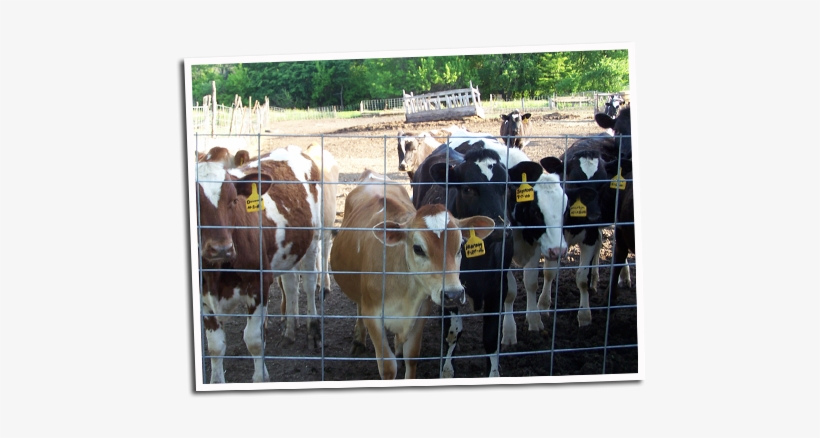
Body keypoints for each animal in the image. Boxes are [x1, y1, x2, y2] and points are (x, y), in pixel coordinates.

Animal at [196, 145, 322, 383]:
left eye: (233, 201)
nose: (221, 248)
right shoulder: (204, 299)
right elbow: (215, 347)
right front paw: (216, 380)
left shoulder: (258, 285)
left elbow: (253, 340)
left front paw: (260, 377)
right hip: (288, 251)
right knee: (290, 285)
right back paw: (290, 330)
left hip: (313, 239)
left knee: (309, 284)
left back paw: (312, 329)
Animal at [330, 169, 494, 379]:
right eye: (418, 248)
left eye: (460, 247)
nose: (453, 294)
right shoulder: (373, 316)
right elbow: (388, 366)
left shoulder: (421, 310)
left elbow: (412, 356)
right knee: (358, 305)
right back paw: (359, 339)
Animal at [412, 132, 551, 378]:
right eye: (468, 189)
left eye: (507, 187)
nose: (499, 228)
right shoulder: (449, 288)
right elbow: (452, 331)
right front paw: (447, 369)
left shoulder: (498, 287)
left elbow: (491, 336)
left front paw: (494, 372)